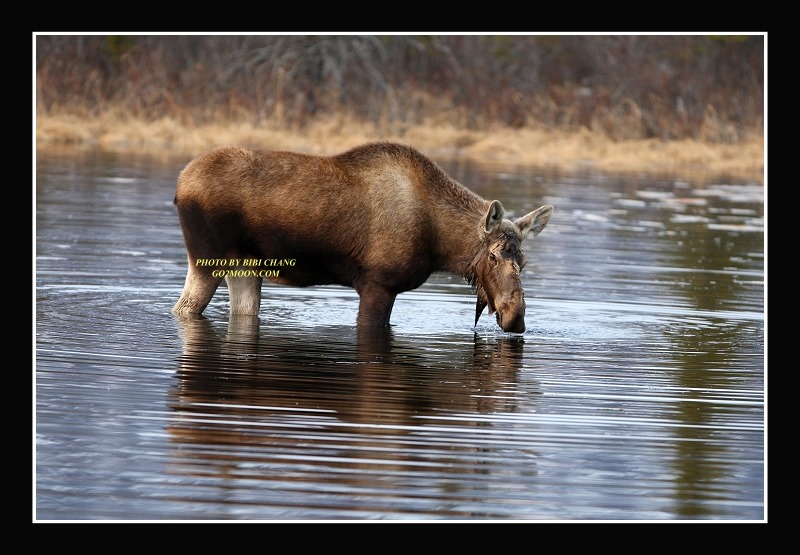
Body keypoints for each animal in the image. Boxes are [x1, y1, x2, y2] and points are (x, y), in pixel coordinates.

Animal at [172, 142, 553, 332]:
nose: (516, 316)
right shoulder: (377, 284)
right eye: (492, 255)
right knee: (185, 309)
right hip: (206, 258)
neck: (440, 244)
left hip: (246, 266)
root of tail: (180, 184)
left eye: (524, 261)